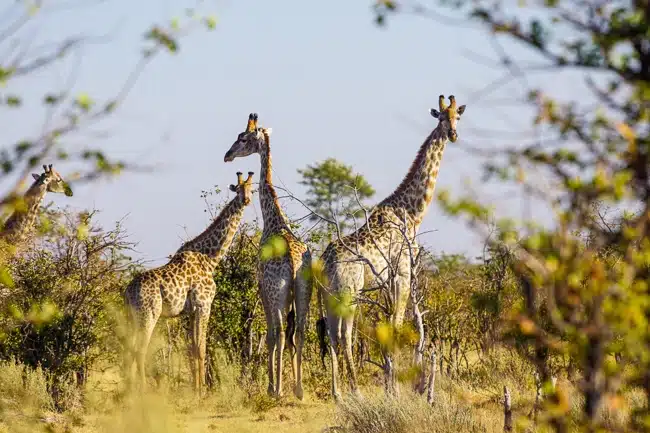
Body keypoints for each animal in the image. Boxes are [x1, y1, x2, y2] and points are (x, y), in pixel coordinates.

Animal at [123, 171, 254, 393]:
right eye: (238, 189)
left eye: (252, 189)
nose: (246, 200)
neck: (210, 258)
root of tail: (127, 291)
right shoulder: (204, 305)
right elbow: (201, 349)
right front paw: (202, 392)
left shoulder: (190, 312)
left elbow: (192, 349)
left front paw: (196, 389)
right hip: (148, 314)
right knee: (140, 351)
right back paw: (143, 391)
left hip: (132, 317)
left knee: (130, 351)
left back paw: (129, 390)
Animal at [224, 113, 312, 400]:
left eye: (242, 138)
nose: (227, 155)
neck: (273, 220)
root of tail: (294, 264)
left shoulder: (262, 286)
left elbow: (272, 336)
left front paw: (271, 385)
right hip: (304, 291)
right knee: (301, 331)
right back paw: (299, 389)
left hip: (278, 293)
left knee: (282, 333)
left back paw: (280, 390)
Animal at [318, 95, 467, 400]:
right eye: (441, 118)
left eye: (458, 116)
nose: (453, 135)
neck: (411, 212)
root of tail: (325, 261)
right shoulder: (402, 274)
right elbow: (397, 326)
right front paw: (395, 389)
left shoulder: (388, 281)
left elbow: (389, 327)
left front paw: (391, 385)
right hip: (350, 291)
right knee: (345, 335)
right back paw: (355, 391)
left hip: (328, 295)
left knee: (331, 334)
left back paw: (337, 392)